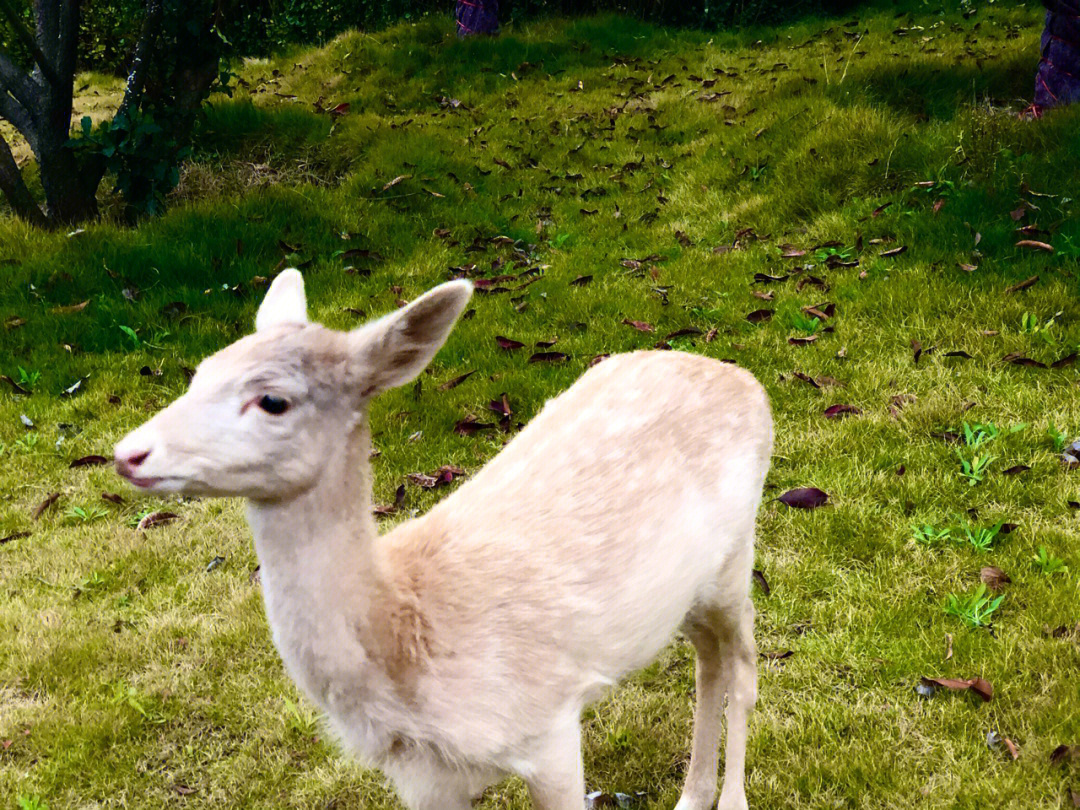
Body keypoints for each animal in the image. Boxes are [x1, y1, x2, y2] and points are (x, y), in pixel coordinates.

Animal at [113, 271, 773, 810]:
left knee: (742, 663)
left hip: (738, 552)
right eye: (199, 372)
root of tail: (748, 381)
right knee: (708, 661)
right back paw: (690, 797)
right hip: (686, 591)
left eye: (273, 399)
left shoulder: (548, 724)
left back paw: (730, 799)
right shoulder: (422, 781)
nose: (128, 453)